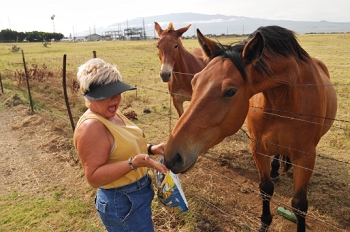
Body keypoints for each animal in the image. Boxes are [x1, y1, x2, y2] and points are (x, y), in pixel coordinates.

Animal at [165, 25, 338, 232]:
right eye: (194, 82)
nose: (171, 156)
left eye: (231, 91)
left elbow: (299, 205)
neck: (285, 98)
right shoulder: (258, 148)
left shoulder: (305, 158)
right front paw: (265, 222)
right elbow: (265, 188)